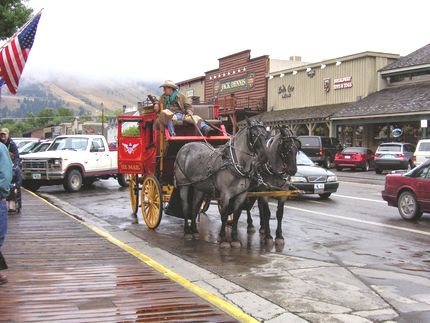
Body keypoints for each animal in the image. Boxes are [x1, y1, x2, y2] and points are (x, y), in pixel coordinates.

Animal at [172, 119, 268, 248]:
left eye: (265, 133)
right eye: (253, 135)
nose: (264, 156)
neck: (234, 162)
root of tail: (184, 147)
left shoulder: (241, 195)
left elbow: (236, 215)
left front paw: (235, 238)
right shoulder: (225, 194)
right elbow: (224, 214)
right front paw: (223, 239)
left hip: (199, 186)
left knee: (194, 206)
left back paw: (195, 231)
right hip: (184, 185)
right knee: (186, 206)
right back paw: (187, 232)